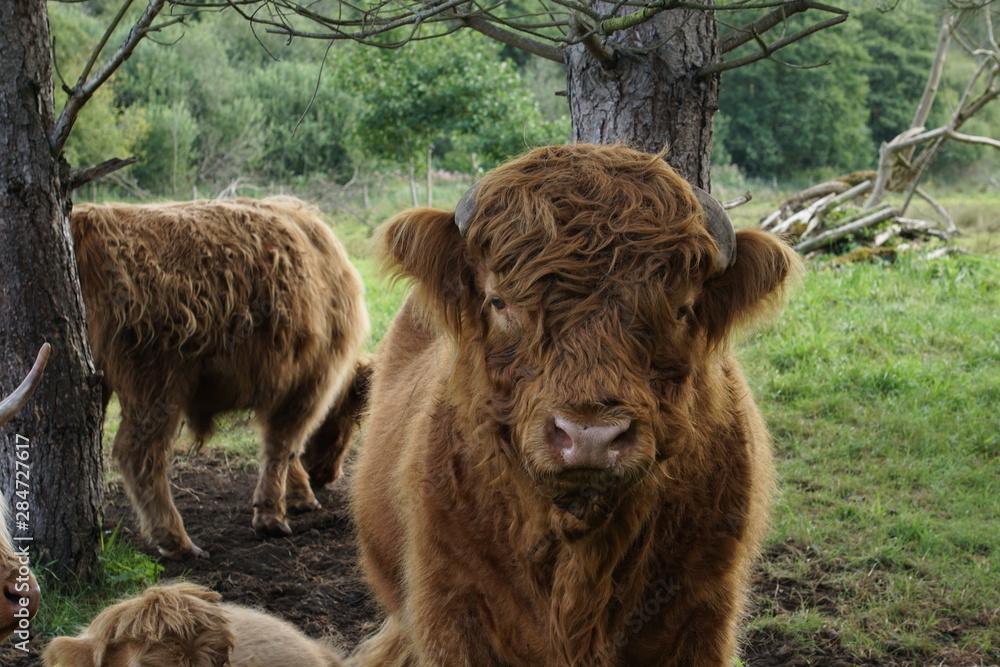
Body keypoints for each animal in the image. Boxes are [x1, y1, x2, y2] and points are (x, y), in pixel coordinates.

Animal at [71, 197, 369, 559]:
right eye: (349, 420)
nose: (327, 475)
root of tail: (89, 217)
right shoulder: (310, 382)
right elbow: (283, 445)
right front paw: (272, 515)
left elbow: (285, 447)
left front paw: (298, 495)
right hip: (156, 383)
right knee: (138, 453)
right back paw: (177, 541)